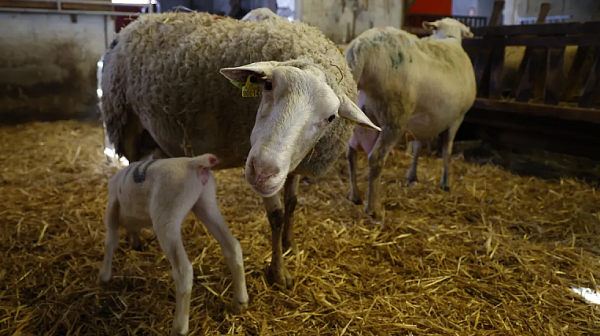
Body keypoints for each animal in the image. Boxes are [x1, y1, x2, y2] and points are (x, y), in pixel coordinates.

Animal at [97, 154, 247, 334]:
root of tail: (195, 162)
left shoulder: (113, 203)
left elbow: (110, 240)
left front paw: (103, 276)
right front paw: (136, 242)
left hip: (167, 215)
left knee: (183, 270)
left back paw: (179, 328)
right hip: (207, 203)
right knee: (233, 246)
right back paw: (241, 301)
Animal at [344, 18, 476, 219]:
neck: (449, 38)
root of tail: (363, 46)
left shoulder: (424, 122)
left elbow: (417, 147)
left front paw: (412, 176)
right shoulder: (457, 118)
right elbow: (447, 150)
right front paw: (445, 183)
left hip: (356, 114)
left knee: (351, 153)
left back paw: (355, 196)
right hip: (394, 116)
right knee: (375, 158)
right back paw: (373, 208)